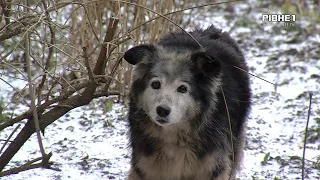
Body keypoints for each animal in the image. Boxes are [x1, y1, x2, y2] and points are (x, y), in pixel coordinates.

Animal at [124, 25, 251, 180]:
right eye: (155, 84)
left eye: (182, 88)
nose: (162, 110)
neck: (175, 136)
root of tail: (213, 29)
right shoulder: (147, 167)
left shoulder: (212, 167)